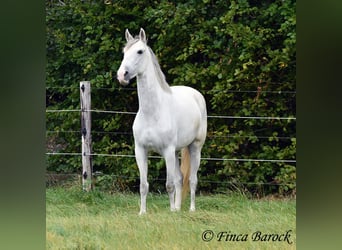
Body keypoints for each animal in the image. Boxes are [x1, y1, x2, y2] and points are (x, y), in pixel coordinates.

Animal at [117, 27, 207, 215]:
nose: (122, 75)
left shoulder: (167, 151)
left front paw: (171, 211)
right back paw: (179, 208)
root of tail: (195, 94)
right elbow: (143, 185)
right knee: (181, 179)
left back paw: (190, 209)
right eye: (124, 52)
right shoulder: (141, 151)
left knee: (192, 180)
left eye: (140, 51)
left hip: (194, 147)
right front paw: (142, 212)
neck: (153, 112)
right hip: (177, 151)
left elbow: (169, 185)